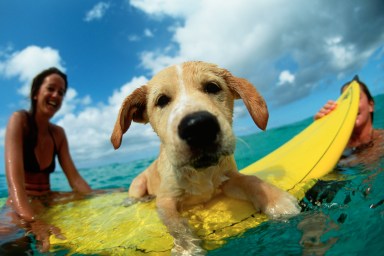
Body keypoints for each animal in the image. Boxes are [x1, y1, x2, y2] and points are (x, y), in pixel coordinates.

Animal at [110, 61, 300, 254]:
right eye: (162, 100)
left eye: (212, 87)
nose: (198, 126)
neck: (200, 173)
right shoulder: (165, 200)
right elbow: (176, 224)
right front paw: (186, 247)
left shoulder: (228, 178)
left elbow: (250, 180)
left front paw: (275, 200)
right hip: (139, 184)